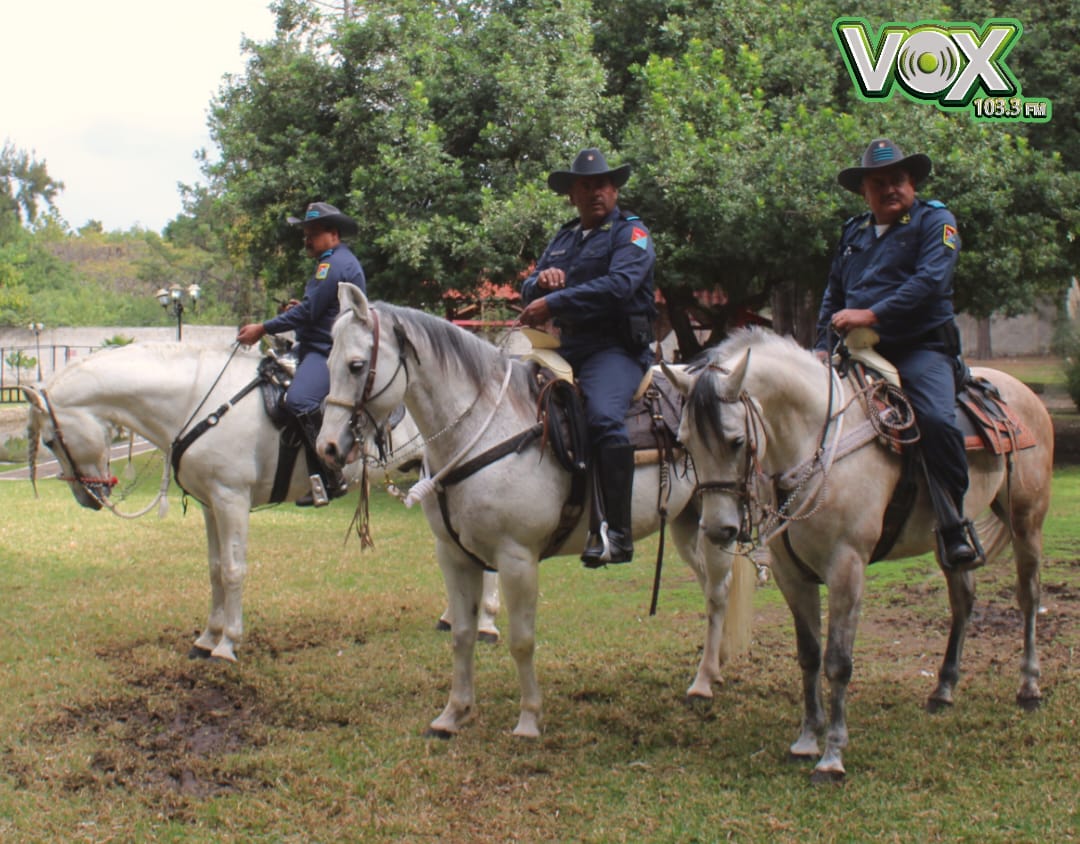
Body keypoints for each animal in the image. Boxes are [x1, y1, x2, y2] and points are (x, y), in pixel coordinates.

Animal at [22, 341, 502, 661]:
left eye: (49, 441)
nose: (88, 497)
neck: (198, 399)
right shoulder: (210, 504)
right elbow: (215, 569)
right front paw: (207, 638)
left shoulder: (231, 499)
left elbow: (234, 570)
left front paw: (227, 644)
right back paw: (455, 616)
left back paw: (487, 624)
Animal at [317, 284, 757, 739]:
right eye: (327, 362)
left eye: (355, 365)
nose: (327, 447)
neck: (481, 430)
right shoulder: (453, 556)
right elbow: (462, 634)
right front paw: (454, 713)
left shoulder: (516, 557)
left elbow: (522, 640)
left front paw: (529, 718)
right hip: (688, 524)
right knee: (710, 589)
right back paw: (715, 665)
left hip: (717, 521)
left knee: (718, 591)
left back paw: (703, 683)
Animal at [663, 328, 1054, 782]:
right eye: (684, 441)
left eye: (736, 440)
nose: (717, 529)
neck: (812, 449)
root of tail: (1019, 393)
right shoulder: (791, 575)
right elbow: (809, 655)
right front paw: (806, 740)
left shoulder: (846, 570)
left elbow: (838, 661)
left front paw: (832, 756)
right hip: (951, 538)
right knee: (963, 599)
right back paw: (943, 690)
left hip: (1027, 520)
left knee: (1028, 596)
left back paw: (1029, 687)